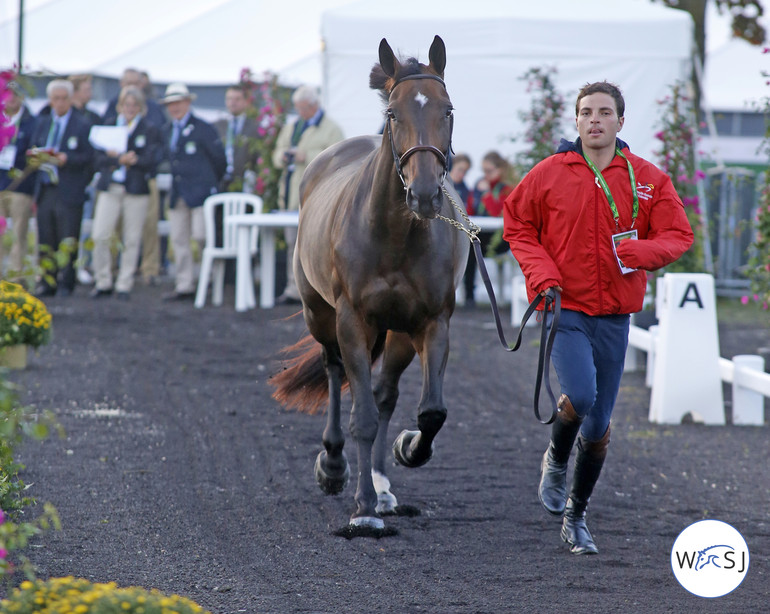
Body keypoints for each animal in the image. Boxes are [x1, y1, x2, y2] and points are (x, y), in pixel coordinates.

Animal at [272, 35, 468, 536]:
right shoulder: (352, 320)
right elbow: (359, 414)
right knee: (334, 370)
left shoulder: (432, 322)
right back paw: (335, 466)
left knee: (384, 396)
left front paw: (408, 449)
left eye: (448, 109)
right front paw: (360, 507)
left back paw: (382, 486)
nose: (424, 194)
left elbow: (430, 411)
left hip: (396, 332)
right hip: (320, 315)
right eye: (394, 114)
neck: (395, 235)